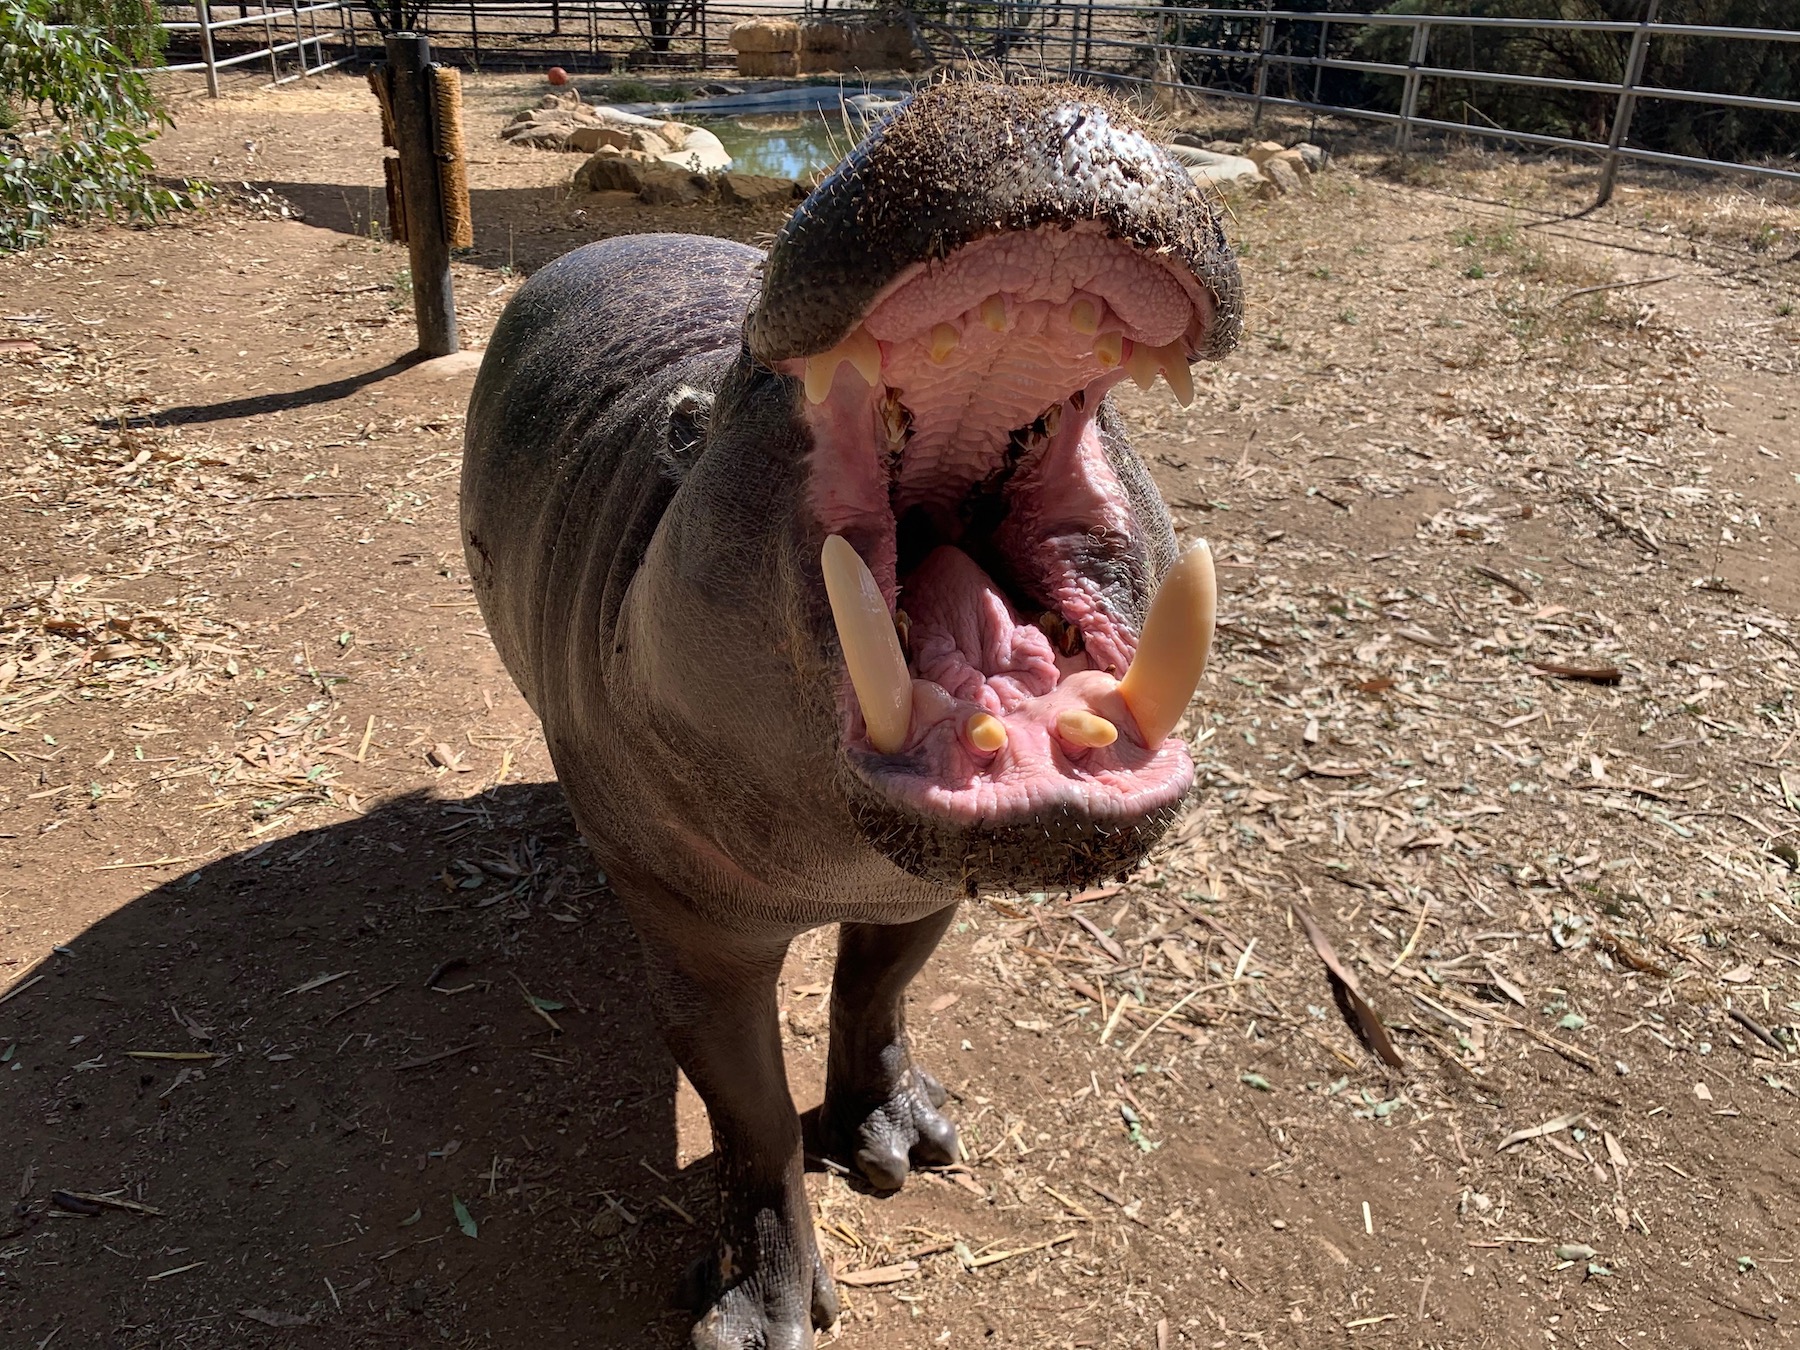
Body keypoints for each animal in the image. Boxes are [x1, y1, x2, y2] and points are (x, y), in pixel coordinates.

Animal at [461, 81, 1242, 1348]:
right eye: (743, 375)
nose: (1027, 103)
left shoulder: (922, 883)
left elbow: (879, 991)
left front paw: (903, 1146)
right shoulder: (695, 932)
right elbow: (750, 1111)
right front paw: (755, 1318)